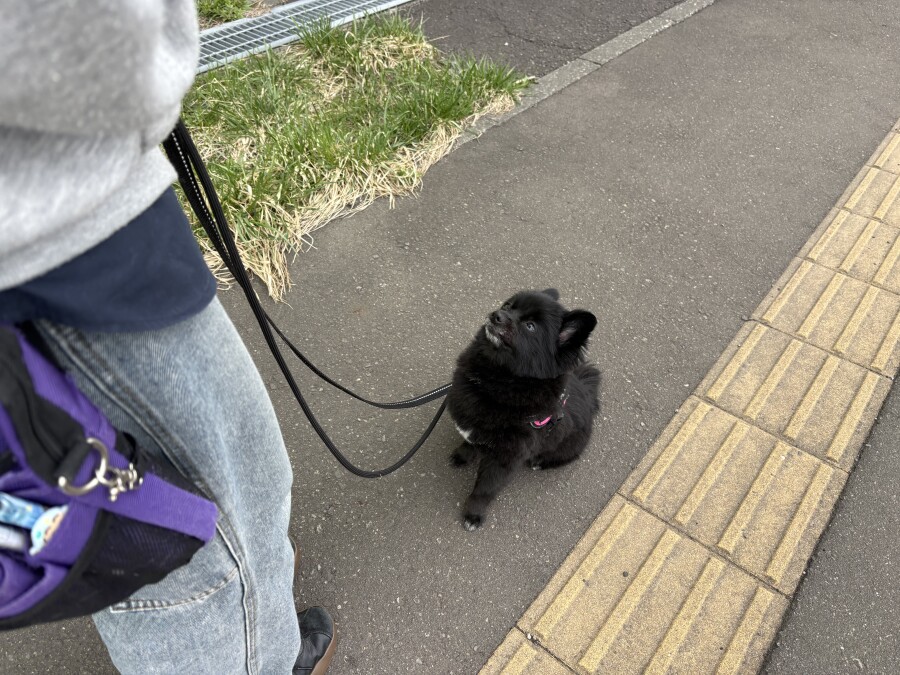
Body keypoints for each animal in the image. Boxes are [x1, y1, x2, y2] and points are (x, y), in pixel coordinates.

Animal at [447, 288, 601, 530]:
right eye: (509, 306)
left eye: (530, 326)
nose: (497, 315)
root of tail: (588, 393)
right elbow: (468, 444)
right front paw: (461, 456)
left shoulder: (504, 460)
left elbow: (484, 490)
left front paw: (473, 515)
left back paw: (540, 463)